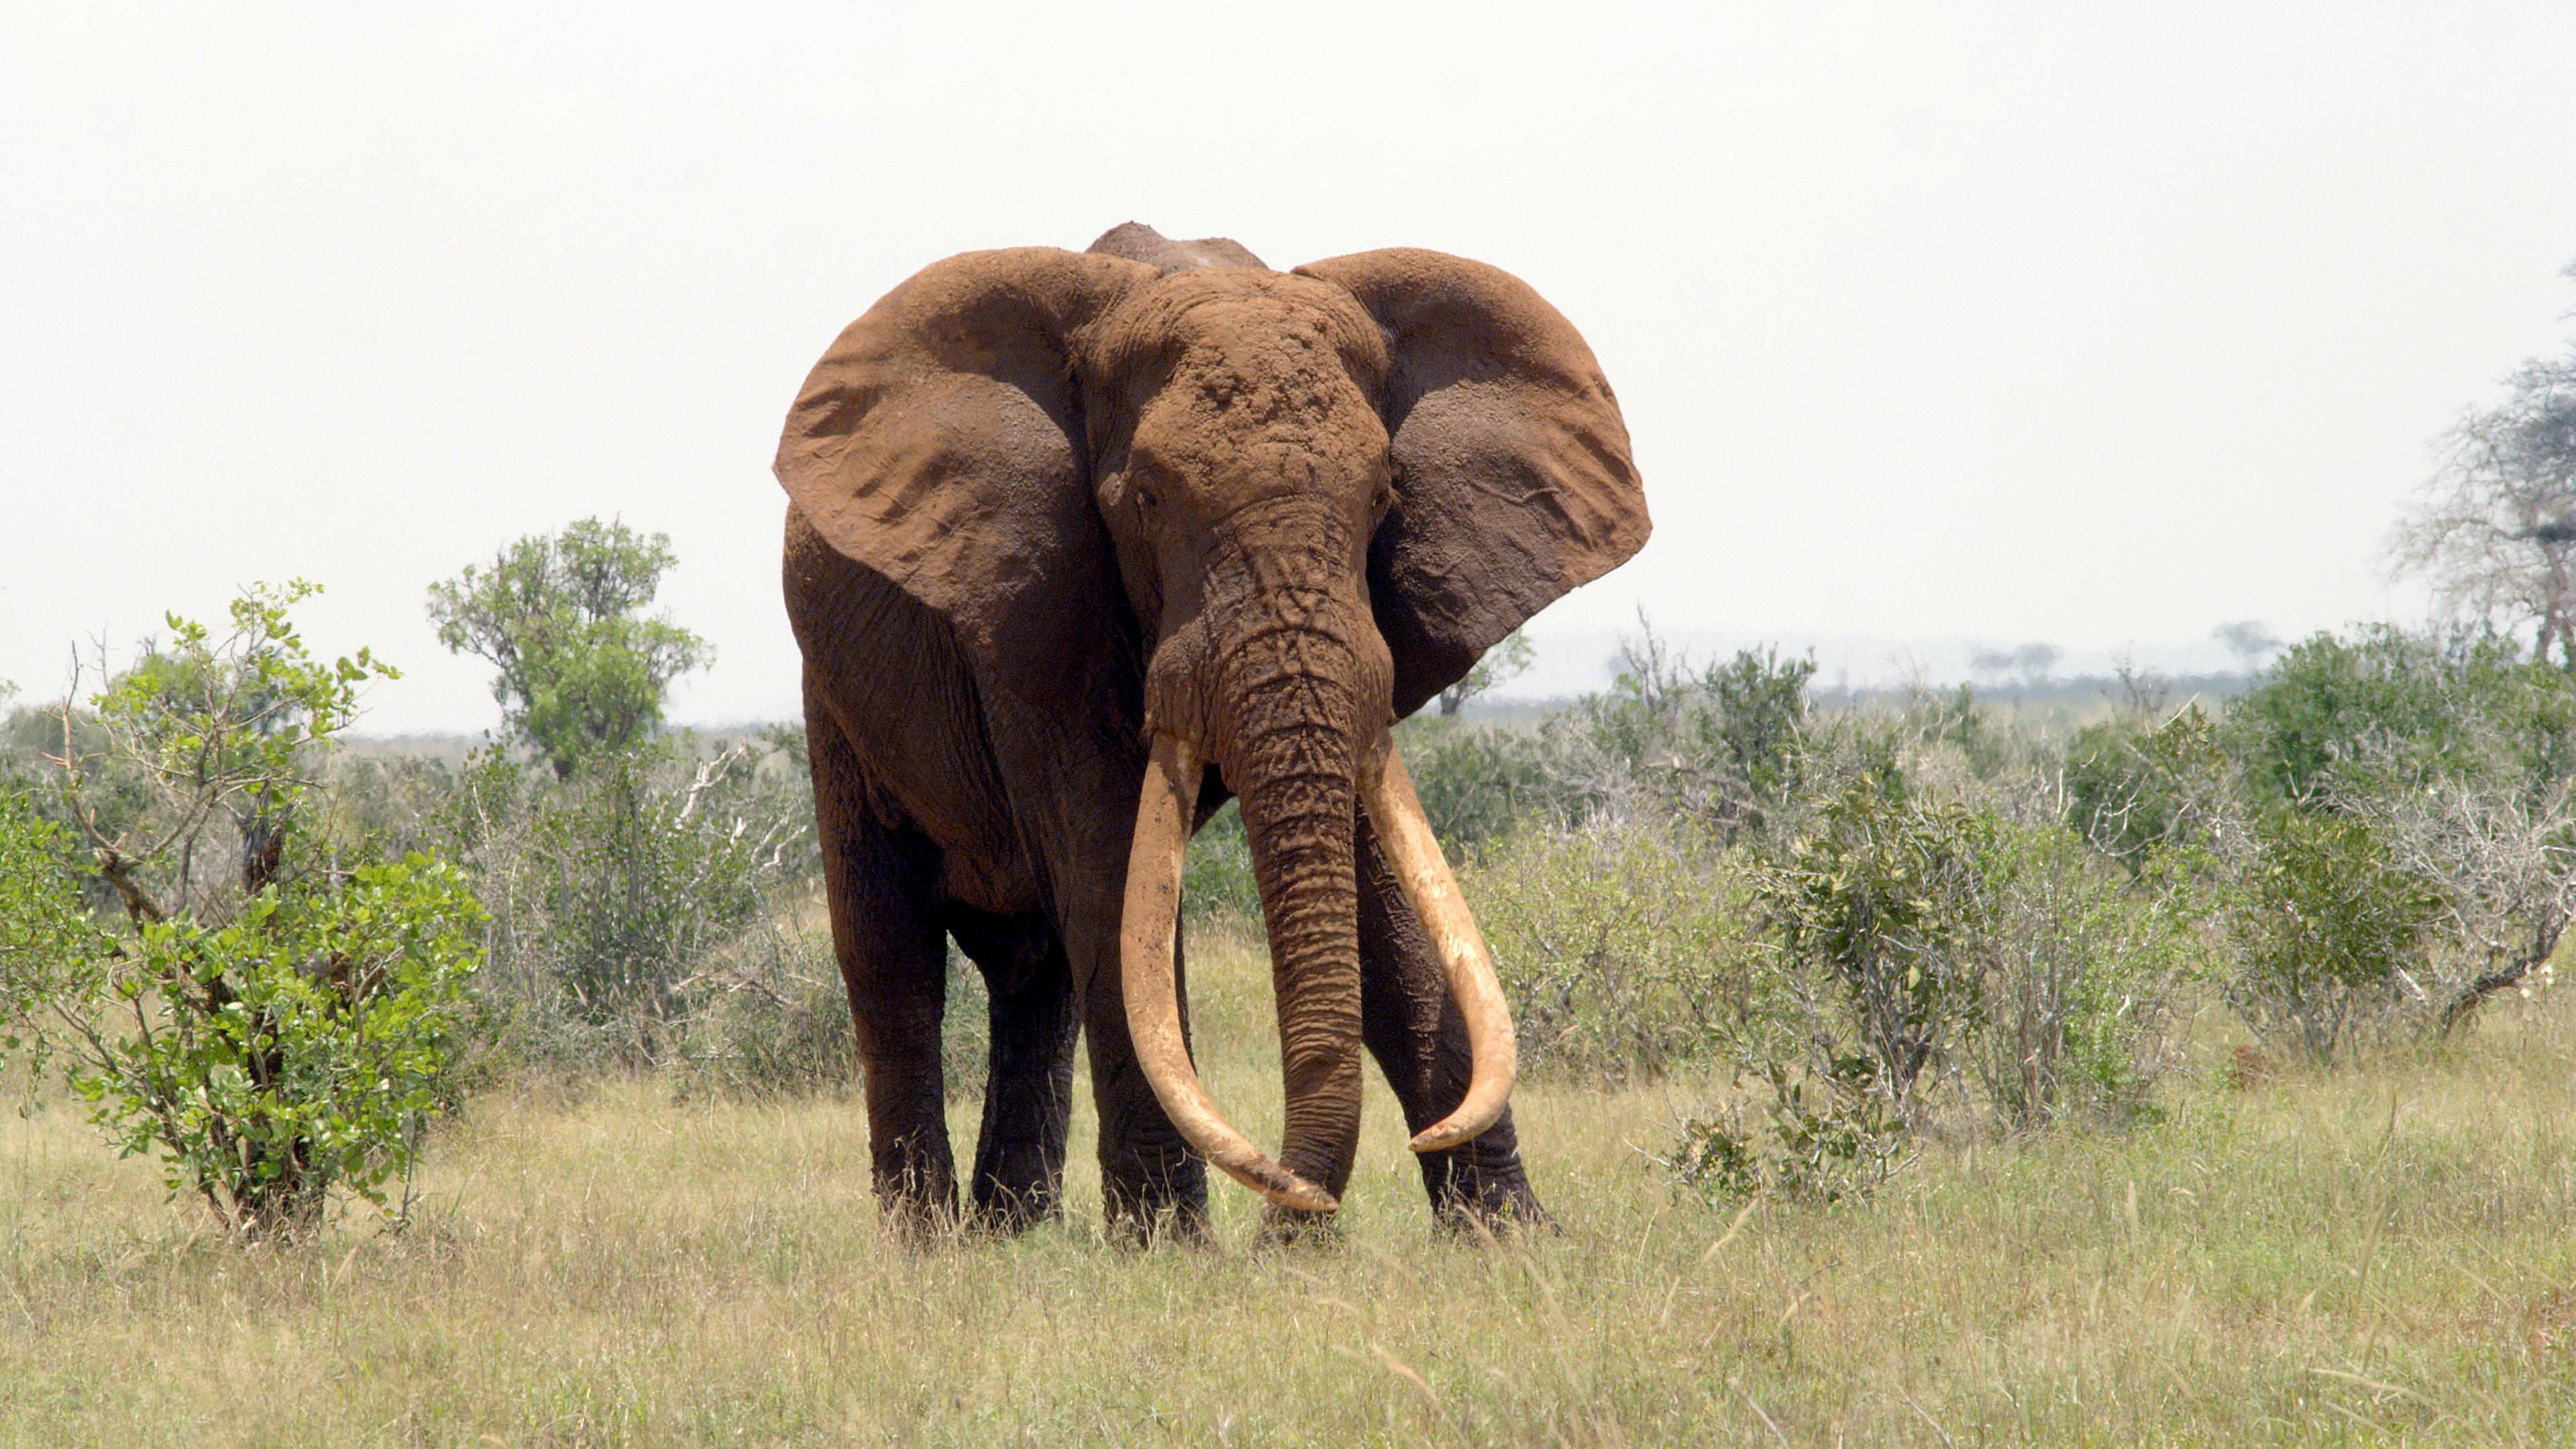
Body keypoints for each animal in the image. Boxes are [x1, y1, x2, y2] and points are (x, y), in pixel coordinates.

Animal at [776, 222, 1647, 1241]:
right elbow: (1112, 874)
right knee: (893, 953)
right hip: (834, 700)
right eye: (1147, 500)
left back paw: (1014, 1234)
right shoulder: (1039, 600)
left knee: (1035, 968)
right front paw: (1167, 1250)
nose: (1297, 1212)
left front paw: (1504, 1237)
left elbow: (1374, 885)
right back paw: (931, 1246)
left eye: (1383, 497)